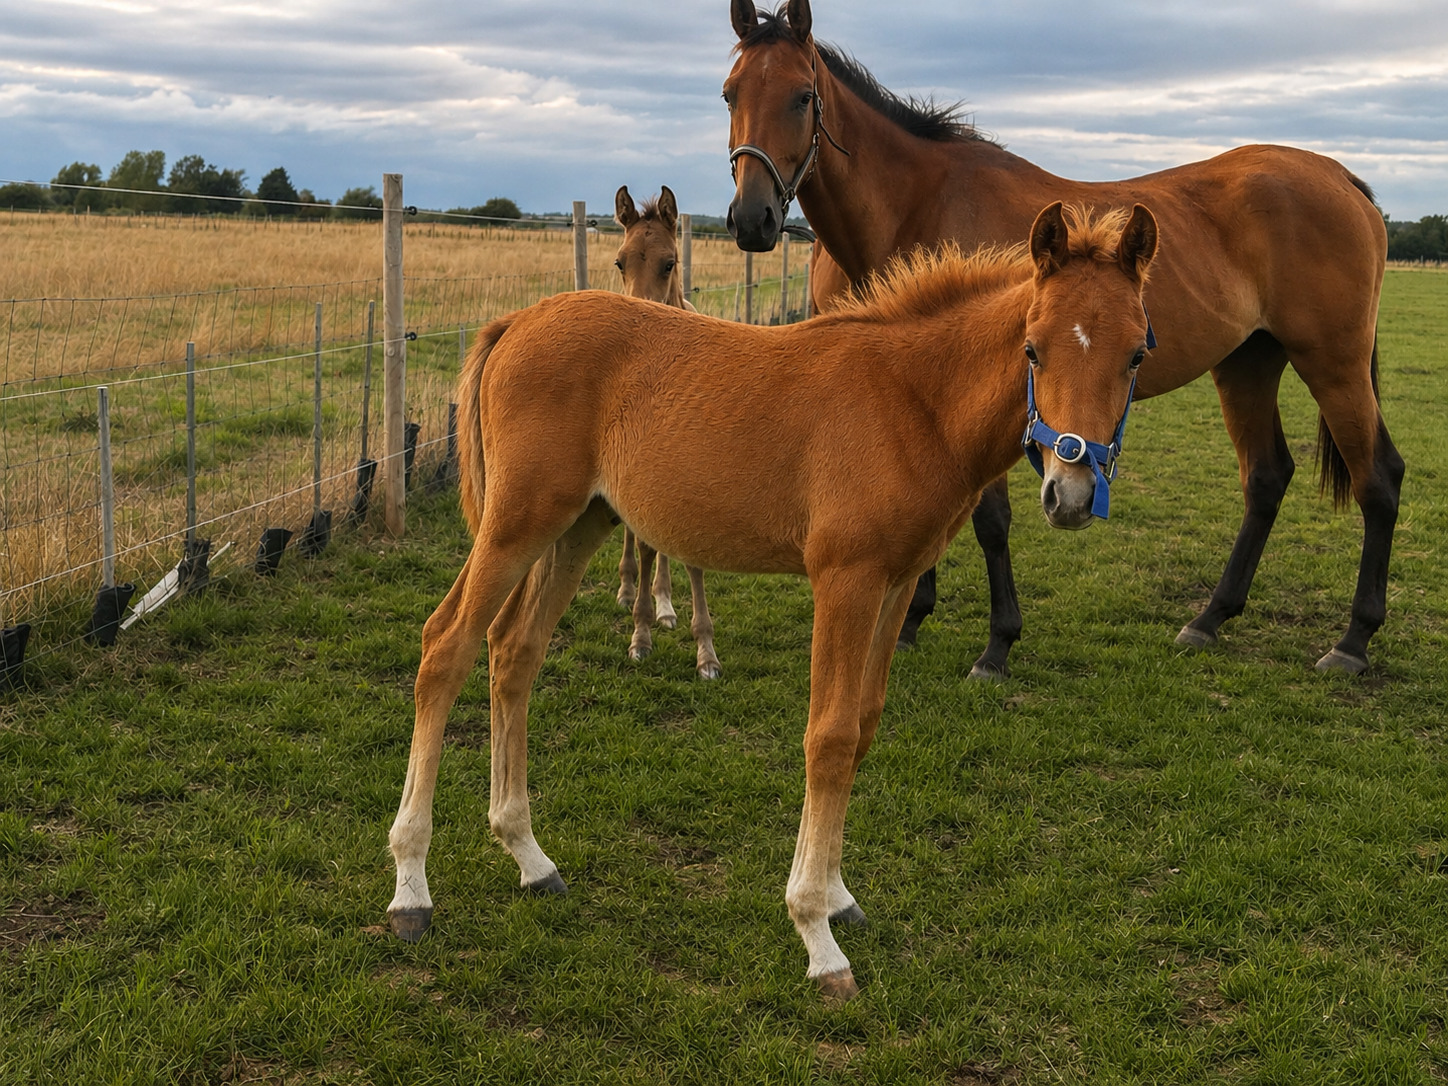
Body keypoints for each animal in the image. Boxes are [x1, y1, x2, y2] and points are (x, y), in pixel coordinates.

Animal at [386, 202, 1160, 1000]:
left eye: (1137, 355)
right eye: (1033, 349)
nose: (1071, 495)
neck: (913, 399)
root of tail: (518, 320)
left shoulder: (897, 583)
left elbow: (864, 725)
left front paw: (840, 895)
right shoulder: (846, 581)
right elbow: (830, 738)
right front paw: (817, 933)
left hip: (580, 524)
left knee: (515, 652)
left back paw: (530, 856)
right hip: (518, 522)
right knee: (445, 645)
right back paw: (411, 887)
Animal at [724, 0, 1402, 677]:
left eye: (803, 97)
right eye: (730, 93)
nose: (753, 219)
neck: (915, 206)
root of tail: (1338, 176)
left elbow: (992, 521)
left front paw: (996, 646)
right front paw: (912, 621)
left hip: (1333, 366)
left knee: (1379, 479)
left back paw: (1353, 641)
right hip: (1246, 364)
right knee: (1266, 478)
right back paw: (1209, 619)